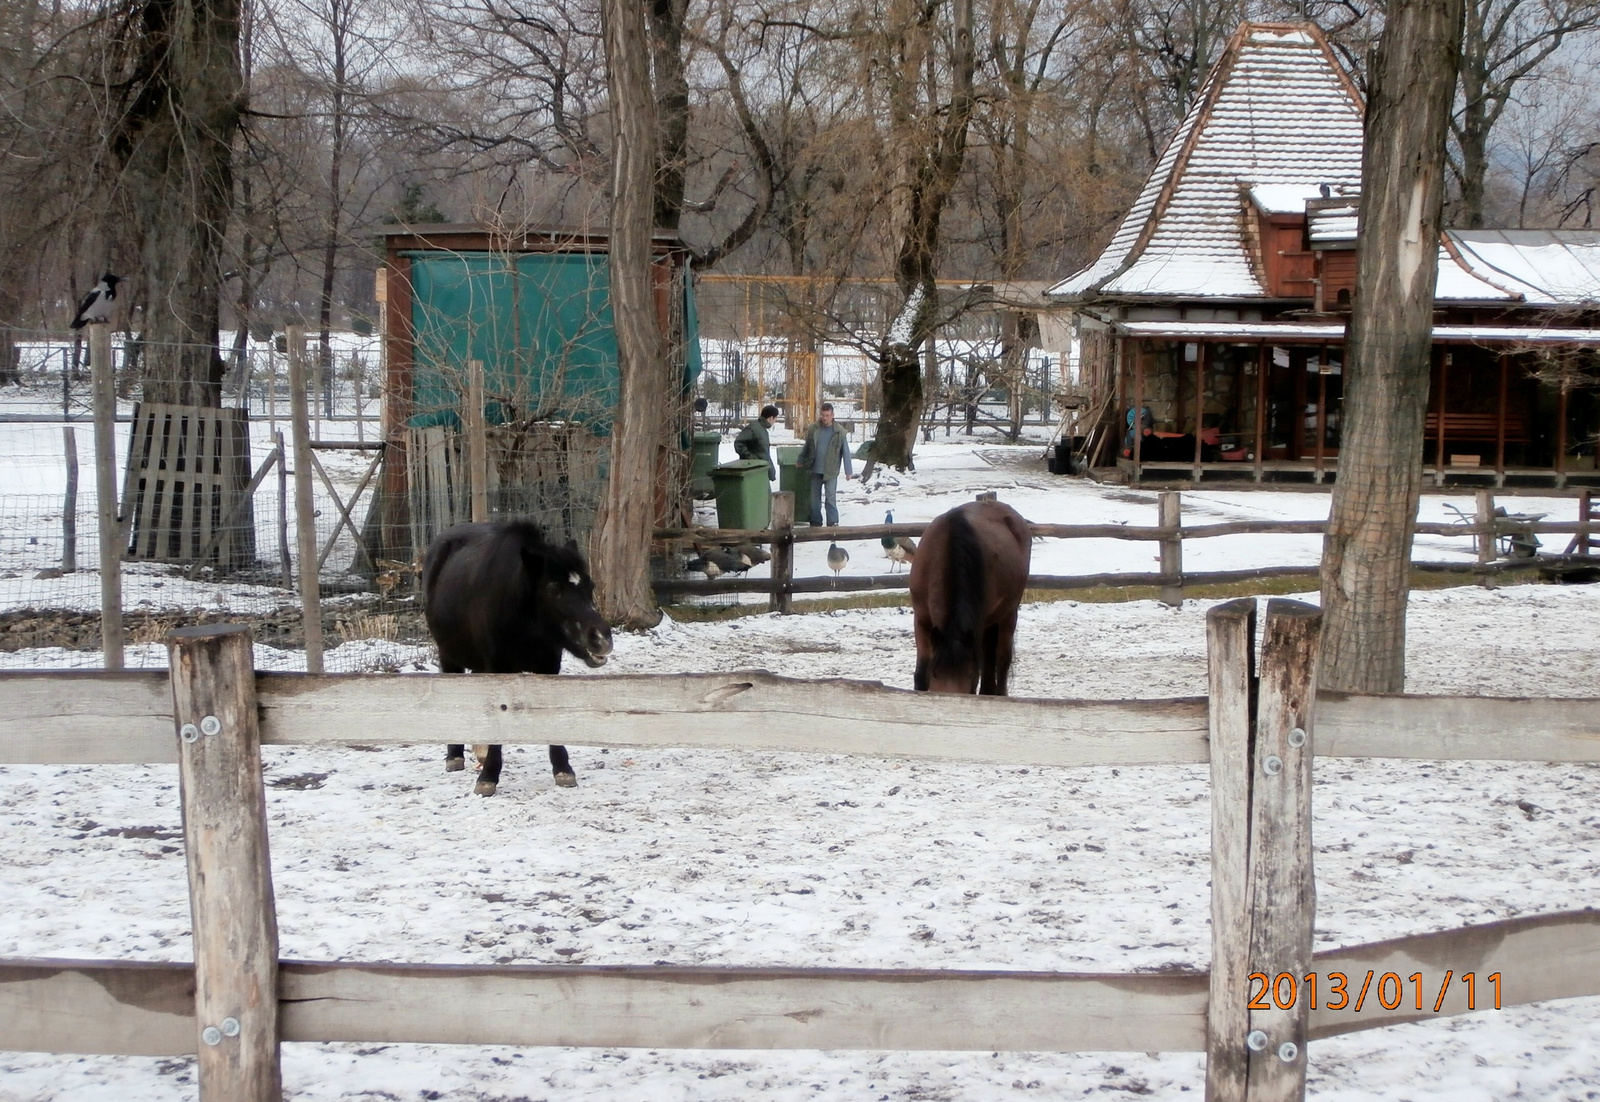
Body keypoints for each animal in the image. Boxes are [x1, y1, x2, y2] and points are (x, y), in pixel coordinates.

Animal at [419, 521, 611, 796]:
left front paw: (563, 769)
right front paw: (488, 777)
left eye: (590, 586)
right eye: (554, 589)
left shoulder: (548, 666)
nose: (602, 637)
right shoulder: (499, 668)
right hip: (449, 656)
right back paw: (455, 756)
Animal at [908, 502, 1030, 690]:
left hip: (1008, 614)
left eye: (971, 675)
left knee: (1001, 662)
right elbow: (921, 673)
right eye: (935, 673)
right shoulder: (921, 618)